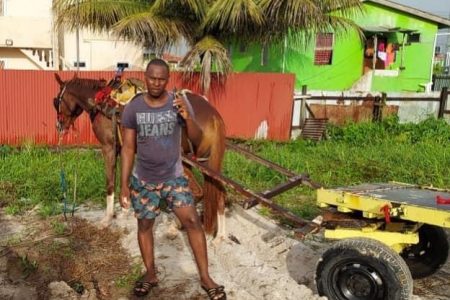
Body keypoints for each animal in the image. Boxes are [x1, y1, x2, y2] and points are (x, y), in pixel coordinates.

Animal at [53, 73, 227, 237]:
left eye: (56, 101)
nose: (59, 126)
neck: (102, 101)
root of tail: (213, 115)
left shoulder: (108, 147)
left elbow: (110, 182)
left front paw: (107, 219)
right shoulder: (123, 148)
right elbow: (124, 178)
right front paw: (125, 210)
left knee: (200, 192)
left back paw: (177, 225)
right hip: (206, 162)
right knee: (219, 193)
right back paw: (220, 237)